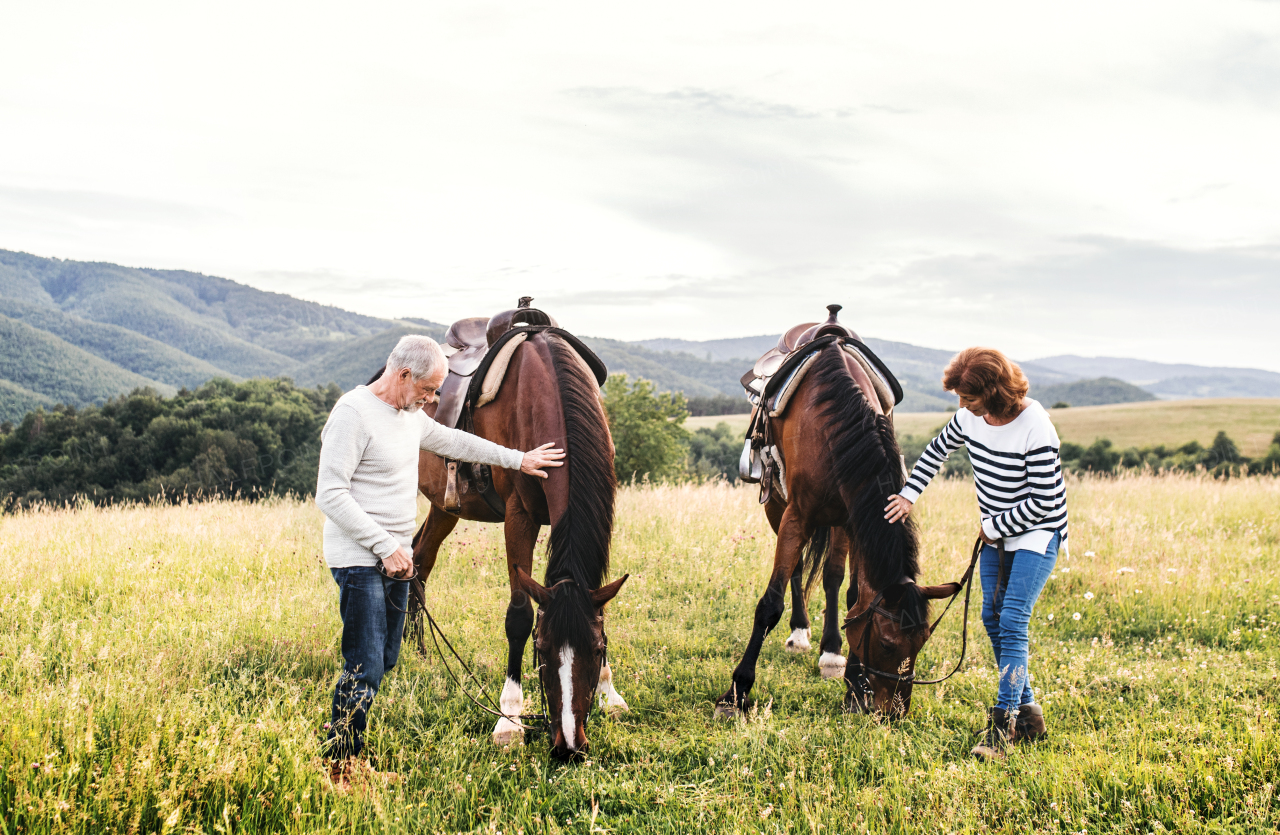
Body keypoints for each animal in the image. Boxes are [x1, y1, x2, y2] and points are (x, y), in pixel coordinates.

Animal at [716, 309, 957, 722]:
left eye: (922, 643)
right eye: (889, 644)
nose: (894, 713)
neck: (835, 426)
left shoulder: (851, 519)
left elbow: (852, 594)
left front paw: (852, 680)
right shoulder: (796, 514)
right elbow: (770, 603)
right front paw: (737, 691)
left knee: (830, 577)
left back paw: (830, 650)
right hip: (776, 505)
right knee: (797, 570)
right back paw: (799, 633)